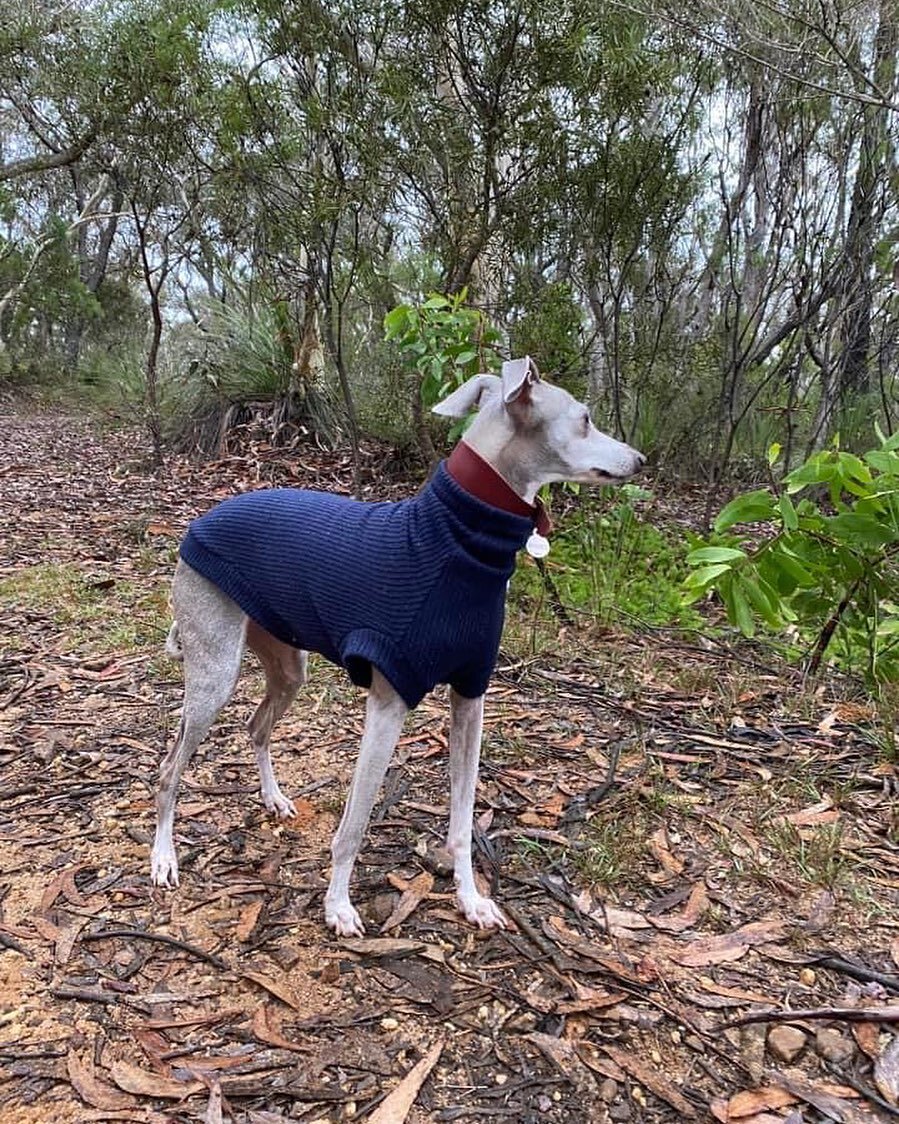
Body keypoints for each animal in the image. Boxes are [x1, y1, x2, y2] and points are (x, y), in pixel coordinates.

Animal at [152, 355, 647, 935]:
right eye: (586, 419)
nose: (640, 459)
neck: (457, 538)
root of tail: (199, 522)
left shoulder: (470, 695)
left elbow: (462, 819)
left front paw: (470, 899)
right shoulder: (388, 704)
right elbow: (354, 826)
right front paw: (338, 907)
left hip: (287, 665)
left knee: (256, 727)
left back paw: (273, 799)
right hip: (214, 674)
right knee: (169, 770)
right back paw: (163, 856)